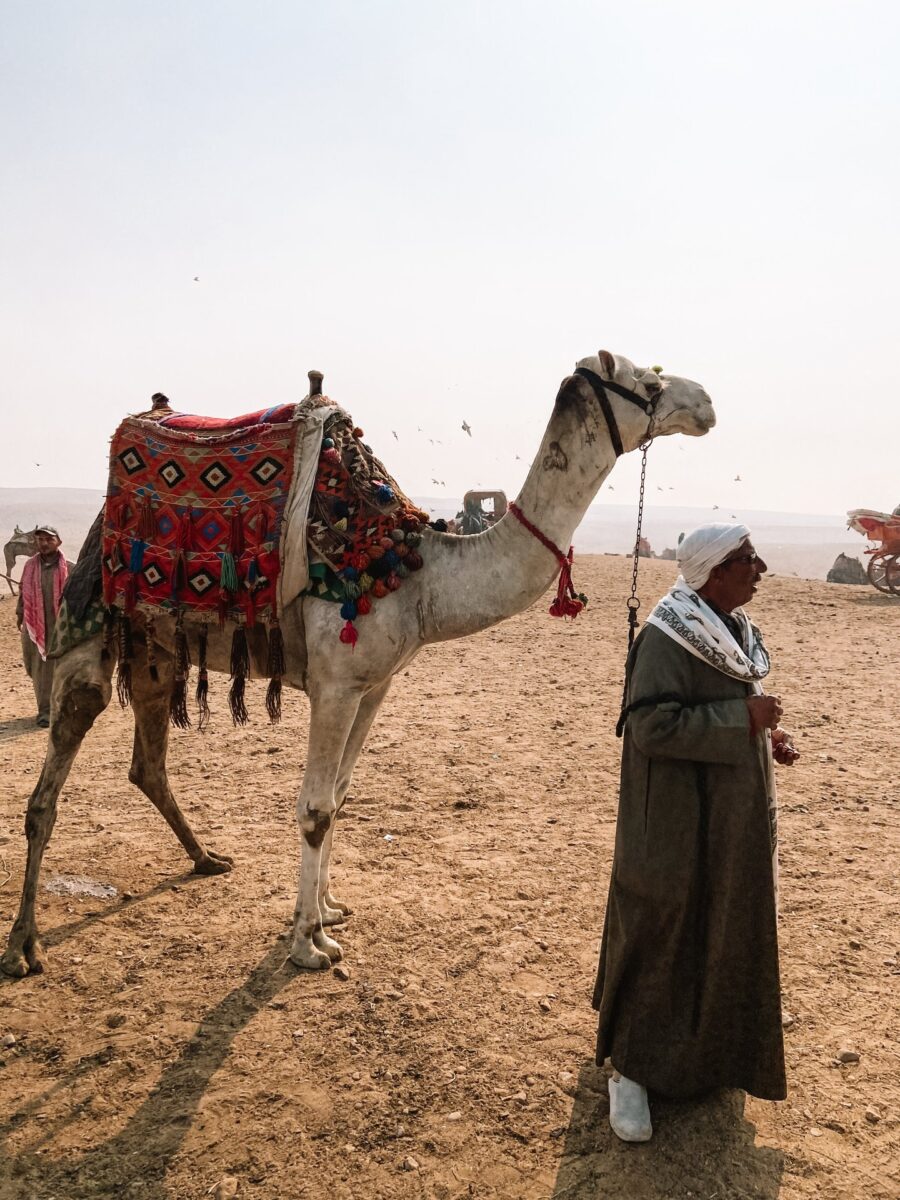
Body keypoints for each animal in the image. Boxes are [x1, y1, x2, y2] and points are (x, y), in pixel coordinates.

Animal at [1, 350, 715, 978]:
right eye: (648, 385)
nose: (706, 401)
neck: (419, 573)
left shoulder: (376, 686)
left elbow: (341, 795)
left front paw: (329, 911)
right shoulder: (336, 685)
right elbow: (315, 806)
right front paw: (307, 946)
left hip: (155, 654)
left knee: (147, 765)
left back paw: (206, 859)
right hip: (88, 643)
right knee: (46, 798)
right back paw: (23, 948)